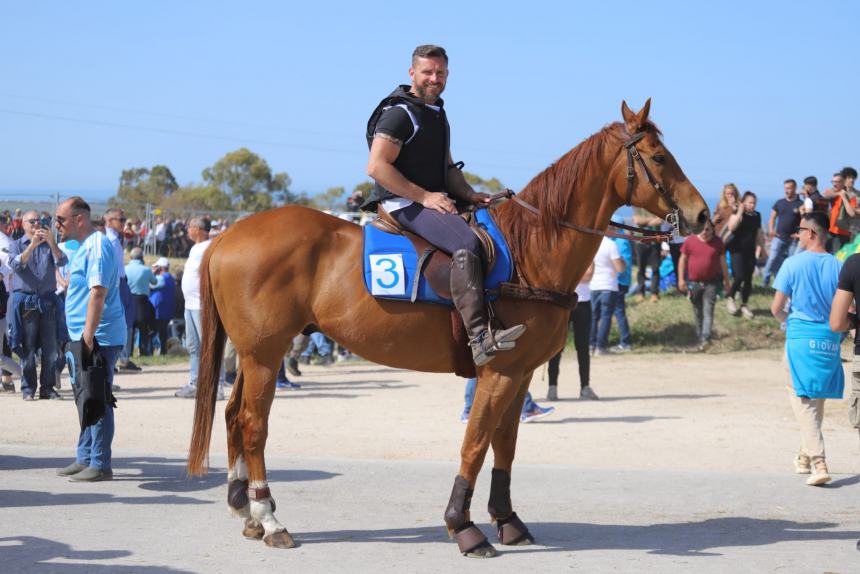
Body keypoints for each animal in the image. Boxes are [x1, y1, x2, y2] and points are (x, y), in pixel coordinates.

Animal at [185, 99, 708, 560]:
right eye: (659, 157)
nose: (702, 214)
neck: (530, 250)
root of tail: (226, 237)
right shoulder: (497, 372)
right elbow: (474, 445)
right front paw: (464, 526)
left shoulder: (519, 374)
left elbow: (505, 447)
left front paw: (507, 519)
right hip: (265, 356)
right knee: (253, 425)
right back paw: (270, 517)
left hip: (253, 356)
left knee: (231, 416)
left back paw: (247, 511)